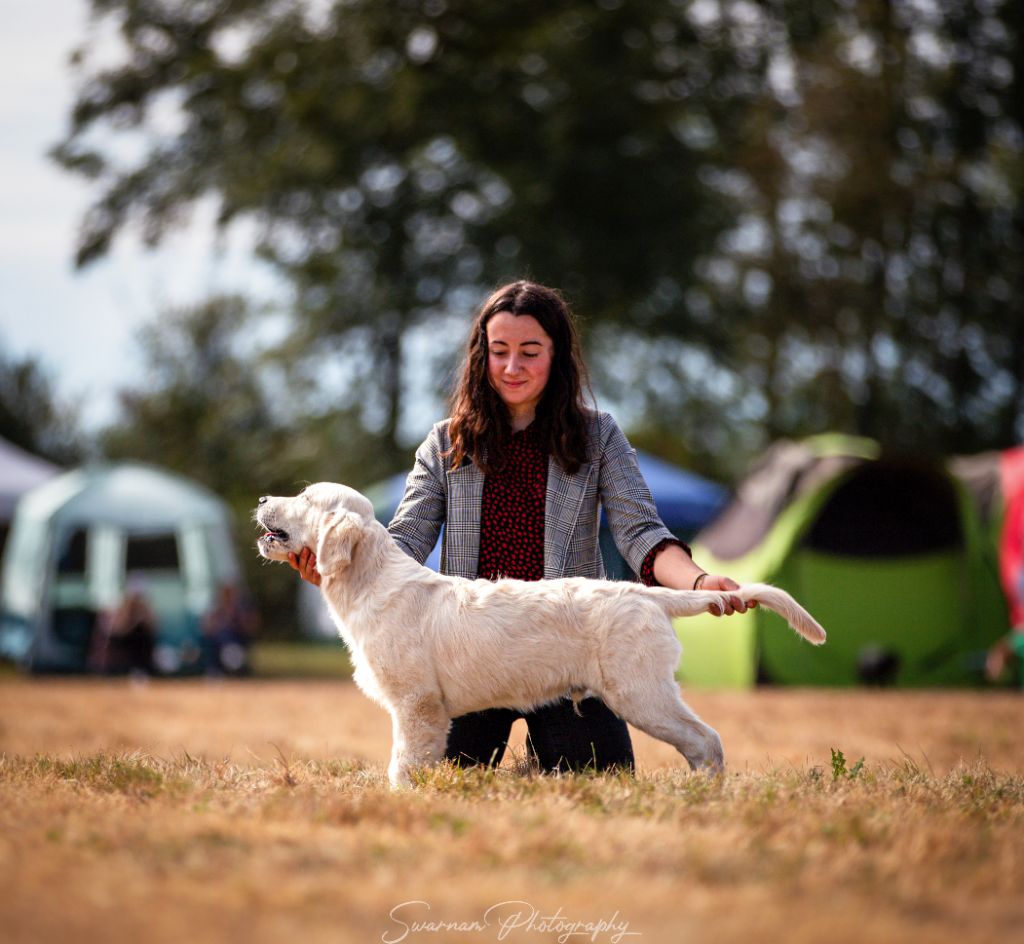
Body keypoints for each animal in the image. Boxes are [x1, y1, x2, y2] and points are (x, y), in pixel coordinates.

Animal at [253, 481, 823, 782]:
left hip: (643, 692)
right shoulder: (429, 713)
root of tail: (646, 594)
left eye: (306, 498)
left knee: (707, 740)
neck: (371, 580)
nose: (261, 500)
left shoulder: (417, 705)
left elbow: (403, 766)